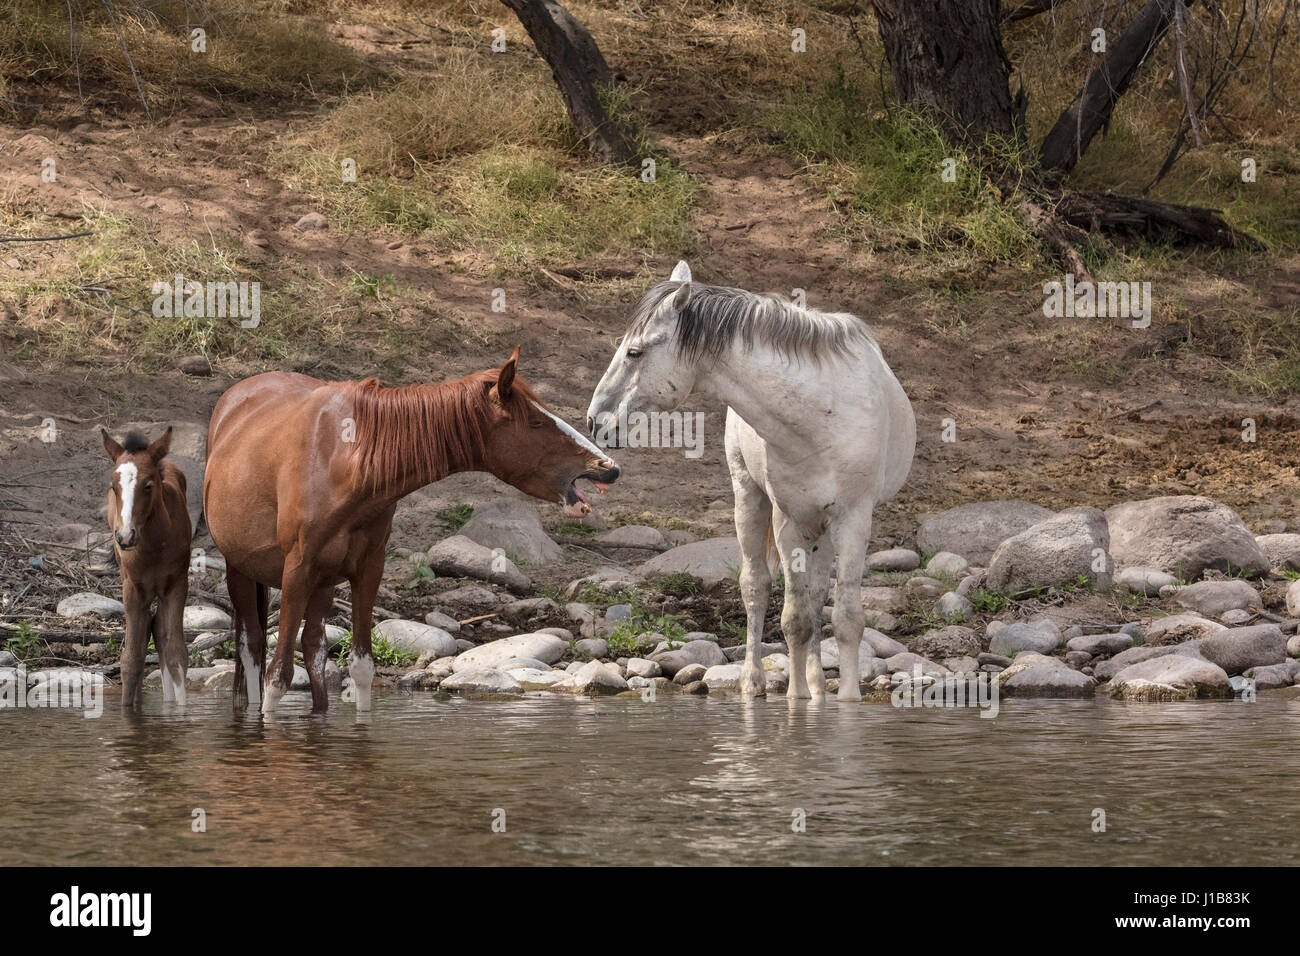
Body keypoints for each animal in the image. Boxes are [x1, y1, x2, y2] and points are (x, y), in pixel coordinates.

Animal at [101, 429, 191, 712]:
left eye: (148, 485)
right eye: (114, 487)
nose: (125, 536)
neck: (153, 547)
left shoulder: (176, 584)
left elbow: (176, 653)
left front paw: (181, 714)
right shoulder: (132, 588)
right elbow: (131, 658)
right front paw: (127, 712)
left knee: (158, 629)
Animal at [205, 348, 621, 712]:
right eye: (536, 423)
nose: (609, 467)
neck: (345, 459)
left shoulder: (367, 571)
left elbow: (360, 668)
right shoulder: (297, 570)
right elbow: (277, 676)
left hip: (322, 582)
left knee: (313, 649)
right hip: (242, 570)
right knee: (252, 647)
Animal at [590, 261, 915, 702]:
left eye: (634, 352)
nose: (595, 420)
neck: (820, 416)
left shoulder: (853, 519)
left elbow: (845, 617)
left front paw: (844, 700)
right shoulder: (789, 519)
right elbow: (794, 619)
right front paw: (796, 699)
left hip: (821, 527)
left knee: (816, 595)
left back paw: (818, 683)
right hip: (752, 499)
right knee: (756, 589)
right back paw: (754, 681)